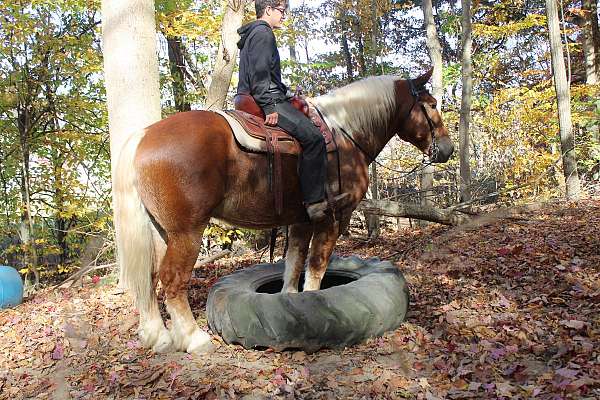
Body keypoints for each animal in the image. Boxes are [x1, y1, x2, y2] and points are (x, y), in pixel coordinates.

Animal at [112, 68, 452, 354]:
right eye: (432, 104)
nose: (447, 149)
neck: (344, 133)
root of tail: (143, 136)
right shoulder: (333, 217)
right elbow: (316, 267)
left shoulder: (300, 221)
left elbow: (293, 265)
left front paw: (292, 303)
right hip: (187, 232)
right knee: (172, 279)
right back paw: (194, 339)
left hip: (159, 231)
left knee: (149, 277)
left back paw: (157, 336)